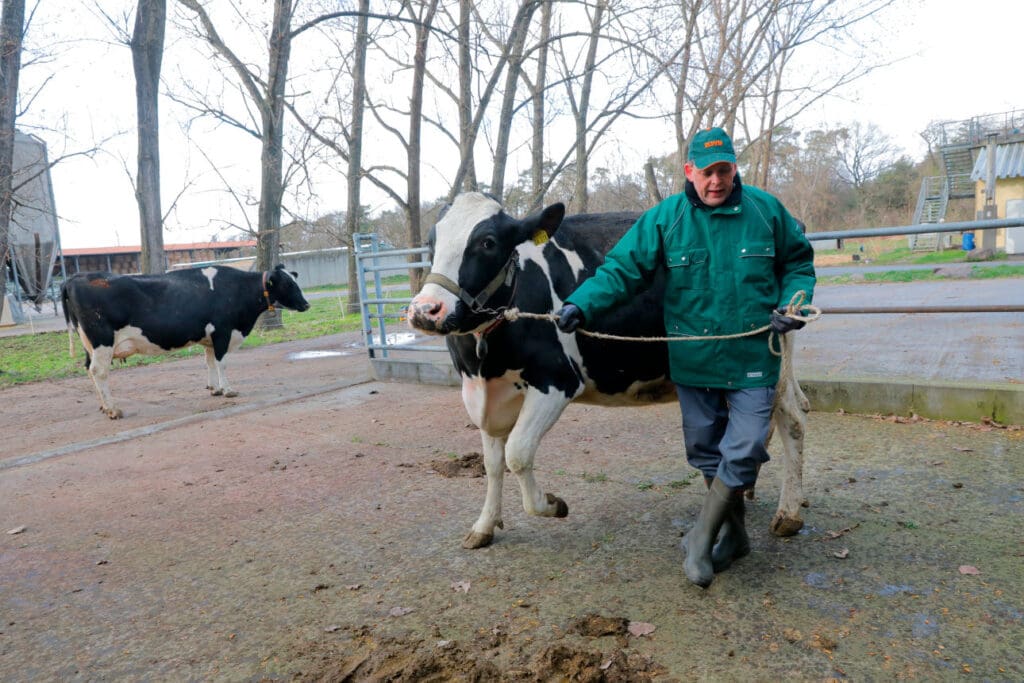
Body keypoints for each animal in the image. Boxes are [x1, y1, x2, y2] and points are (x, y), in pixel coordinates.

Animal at [62, 264, 309, 419]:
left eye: (295, 281)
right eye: (288, 285)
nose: (306, 305)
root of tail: (76, 277)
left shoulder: (209, 337)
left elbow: (209, 361)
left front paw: (214, 388)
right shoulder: (222, 331)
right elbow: (221, 362)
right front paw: (228, 390)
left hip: (89, 344)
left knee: (89, 369)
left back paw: (104, 406)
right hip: (102, 341)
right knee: (99, 371)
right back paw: (114, 410)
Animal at [409, 192, 806, 548]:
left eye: (488, 242)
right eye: (431, 242)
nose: (426, 310)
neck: (484, 362)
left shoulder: (557, 381)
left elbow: (517, 454)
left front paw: (552, 504)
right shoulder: (485, 395)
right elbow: (492, 464)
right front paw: (484, 526)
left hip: (771, 357)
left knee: (792, 419)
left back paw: (788, 514)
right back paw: (750, 488)